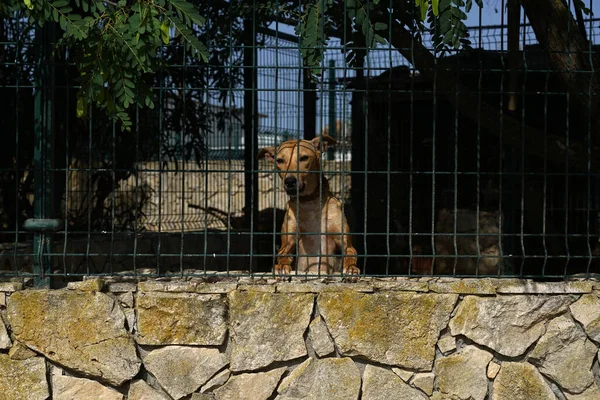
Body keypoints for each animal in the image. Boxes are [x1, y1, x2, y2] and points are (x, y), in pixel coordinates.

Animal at [258, 134, 360, 278]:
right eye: (279, 160)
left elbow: (350, 254)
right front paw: (281, 267)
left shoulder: (345, 242)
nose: (289, 181)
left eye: (304, 157)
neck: (310, 203)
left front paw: (351, 268)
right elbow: (283, 255)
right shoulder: (287, 243)